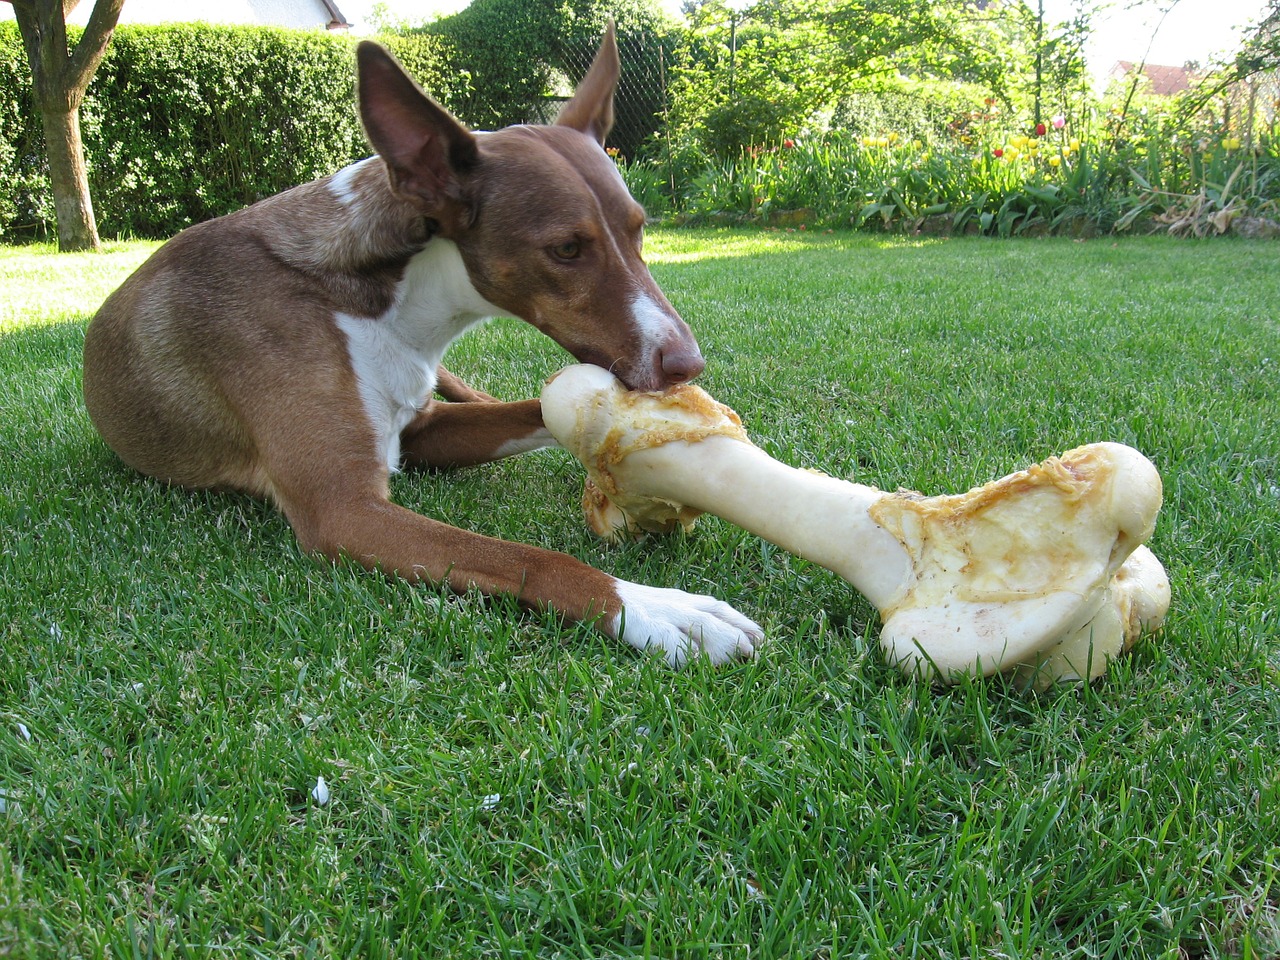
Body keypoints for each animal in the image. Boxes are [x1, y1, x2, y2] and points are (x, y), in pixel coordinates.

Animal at [85, 24, 757, 670]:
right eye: (566, 249)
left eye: (639, 229)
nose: (686, 364)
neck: (389, 305)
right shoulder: (343, 508)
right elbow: (529, 557)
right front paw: (658, 610)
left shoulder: (423, 430)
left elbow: (534, 409)